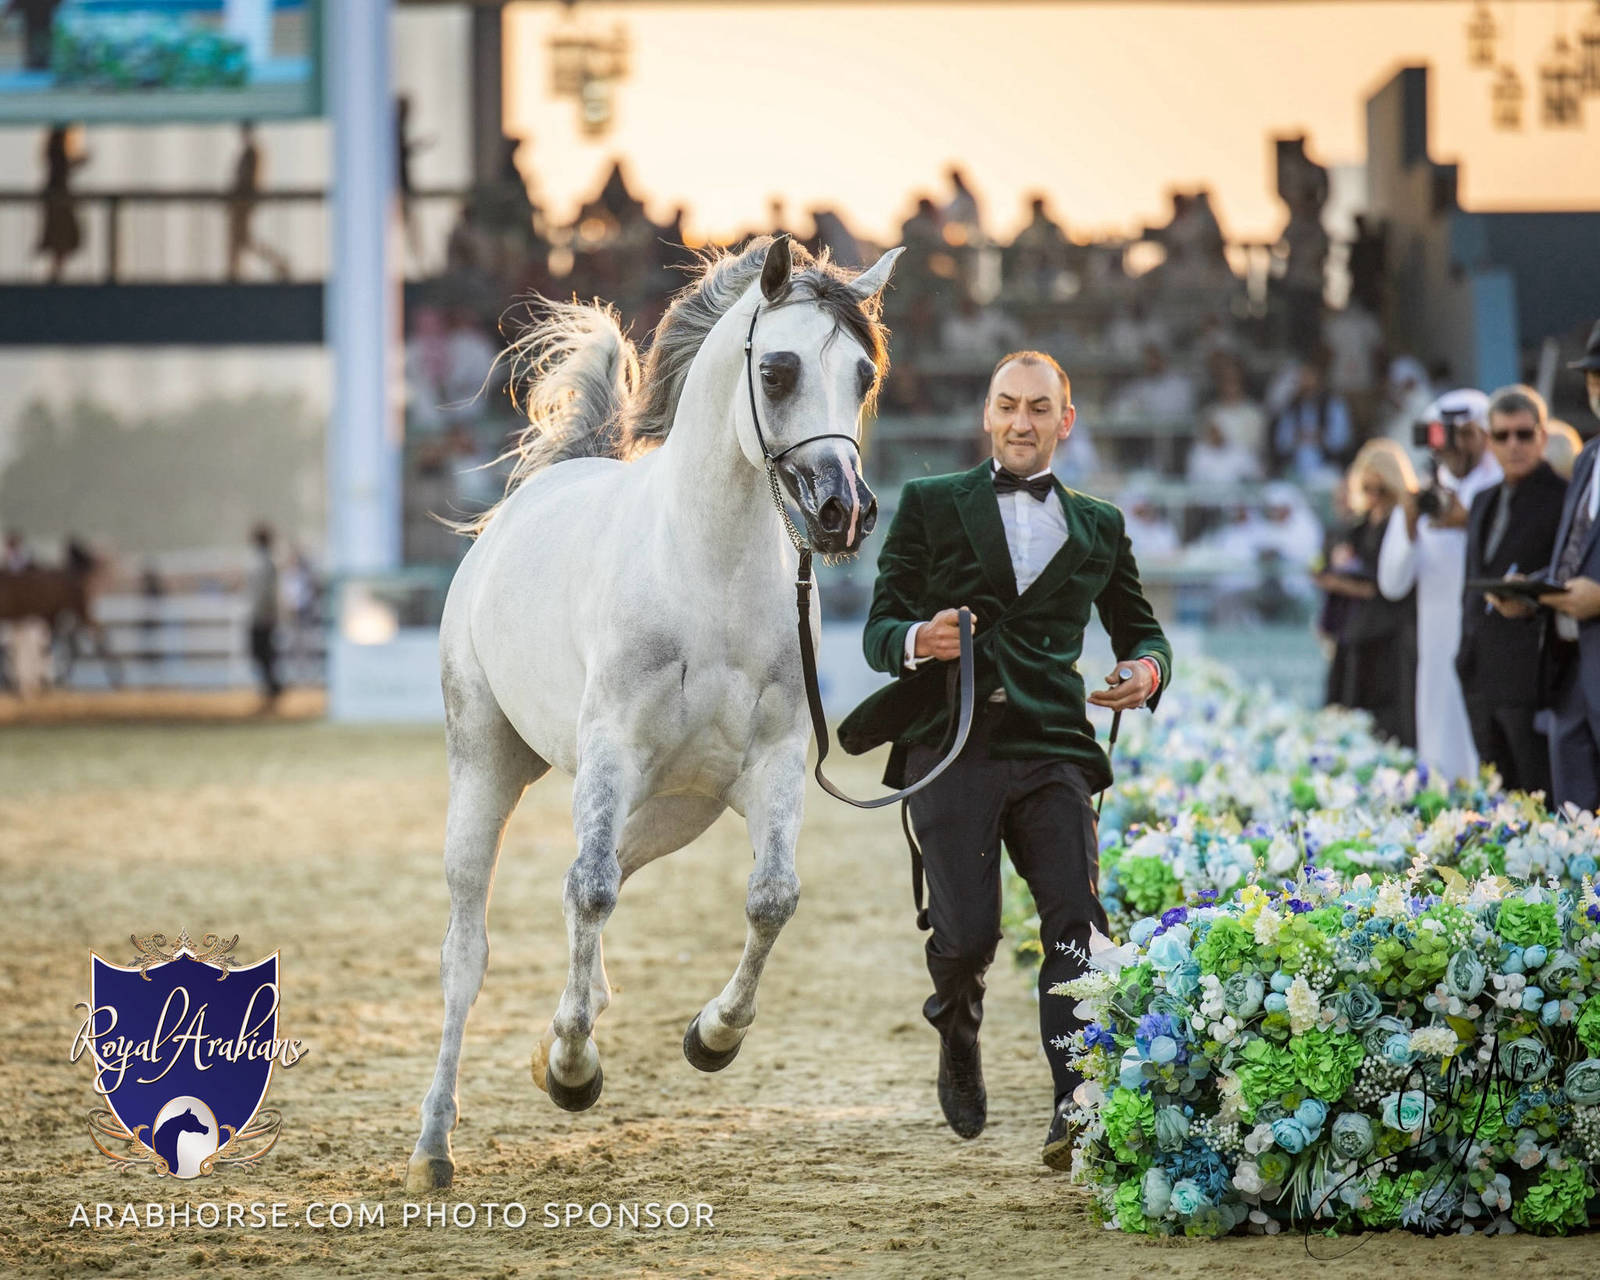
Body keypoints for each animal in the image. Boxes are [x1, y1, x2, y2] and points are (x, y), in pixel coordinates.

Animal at [406, 235, 903, 1193]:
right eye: (778, 370)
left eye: (863, 375)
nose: (842, 513)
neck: (704, 575)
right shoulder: (610, 754)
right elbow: (591, 893)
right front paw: (572, 1071)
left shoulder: (774, 764)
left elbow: (771, 899)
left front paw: (712, 1037)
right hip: (486, 768)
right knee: (469, 950)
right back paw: (434, 1145)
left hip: (676, 809)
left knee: (598, 882)